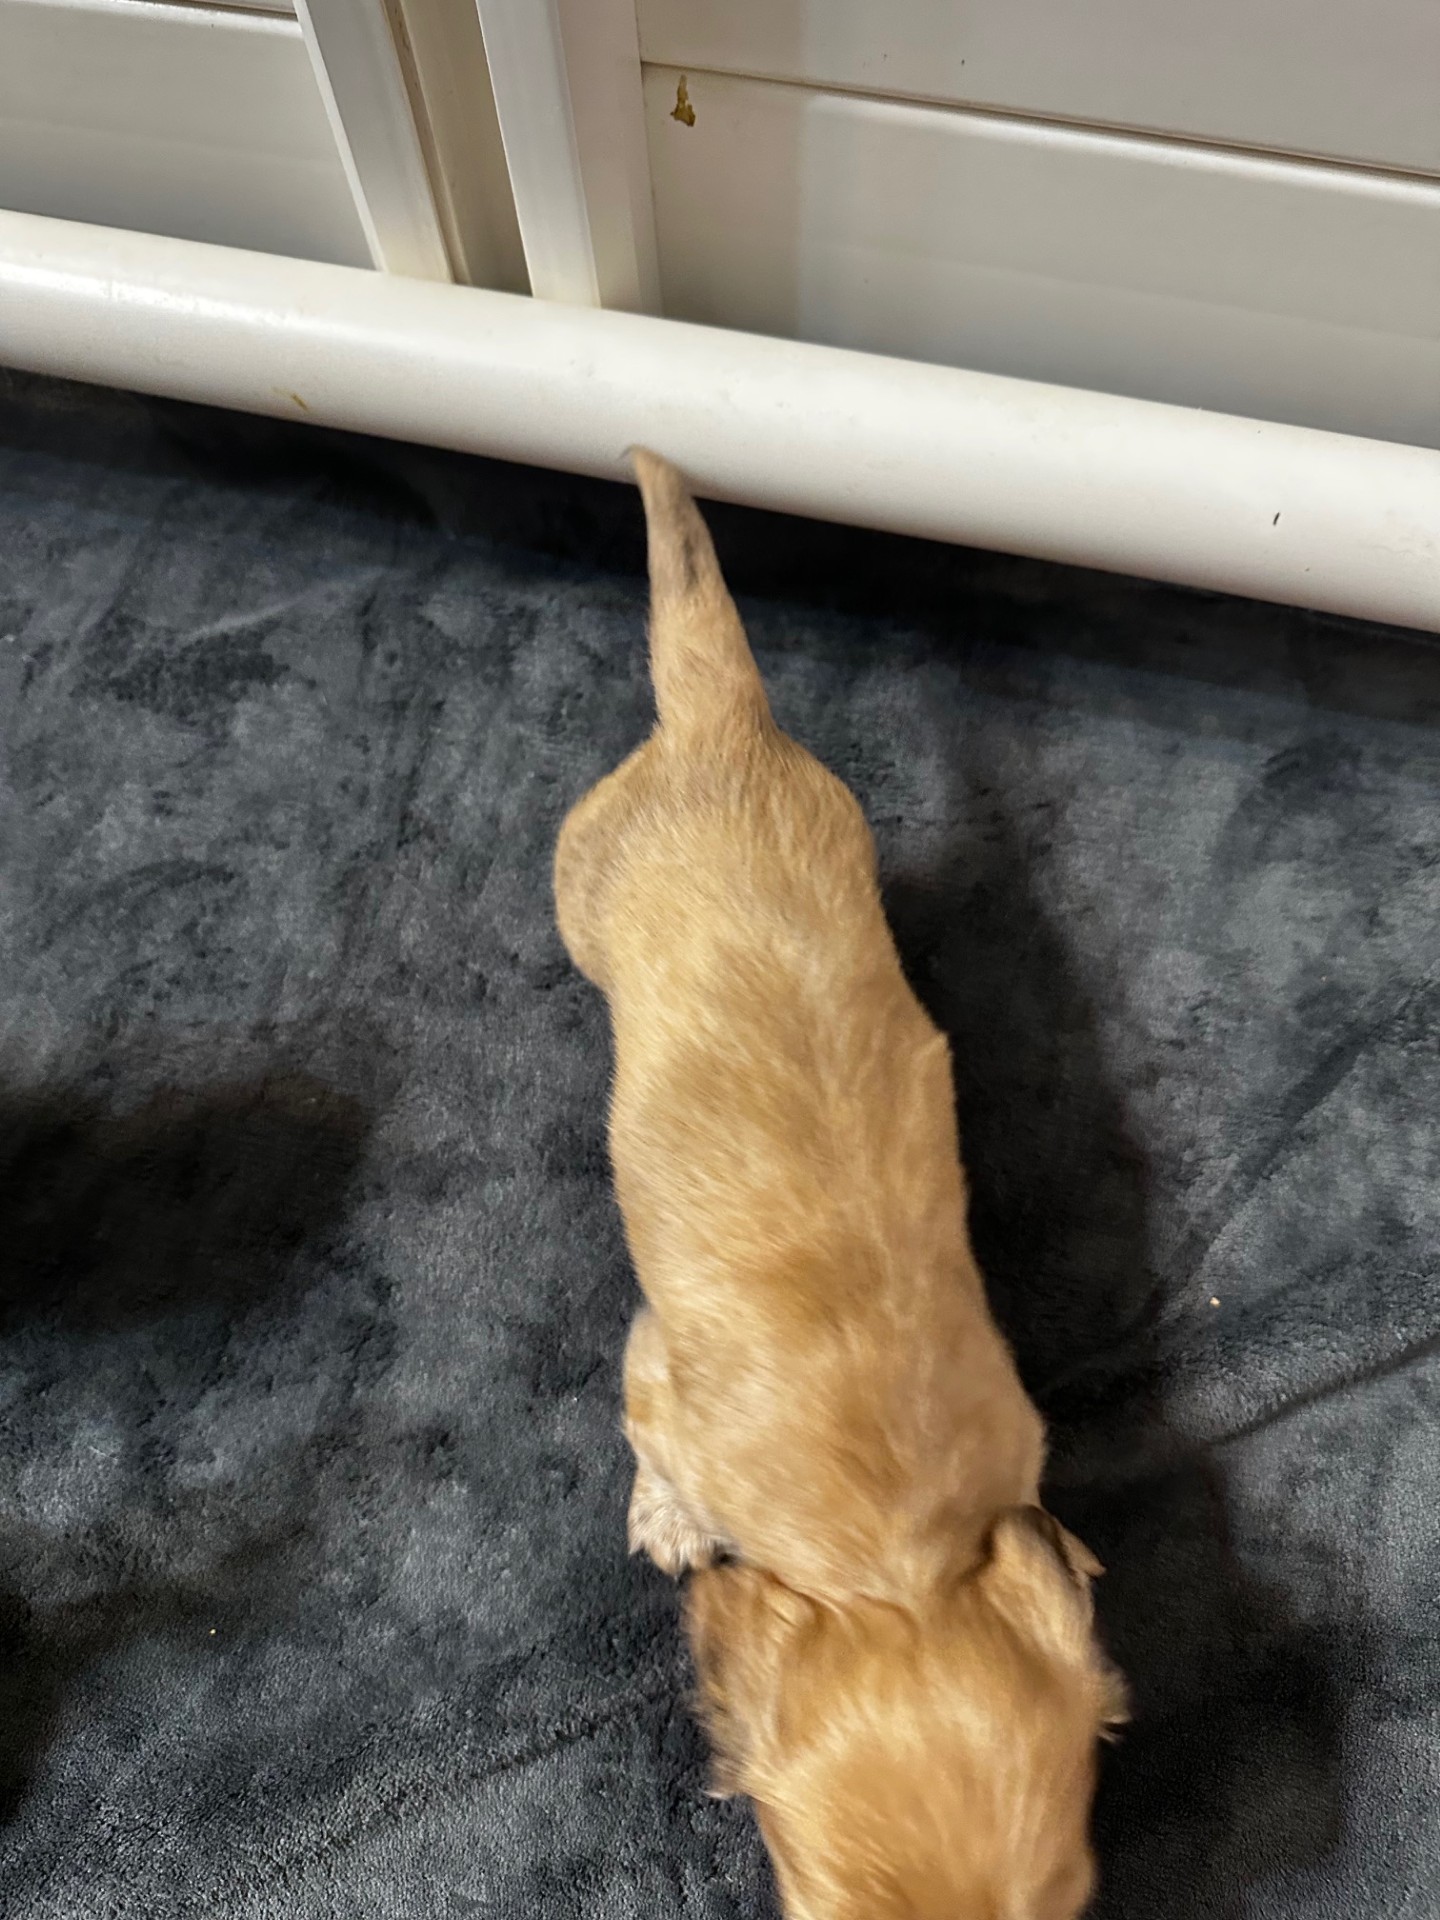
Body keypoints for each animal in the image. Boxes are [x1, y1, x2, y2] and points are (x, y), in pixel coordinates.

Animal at [554, 451, 1125, 1919]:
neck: (897, 1560)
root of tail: (720, 733)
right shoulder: (657, 1378)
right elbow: (654, 1451)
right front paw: (665, 1518)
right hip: (578, 875)